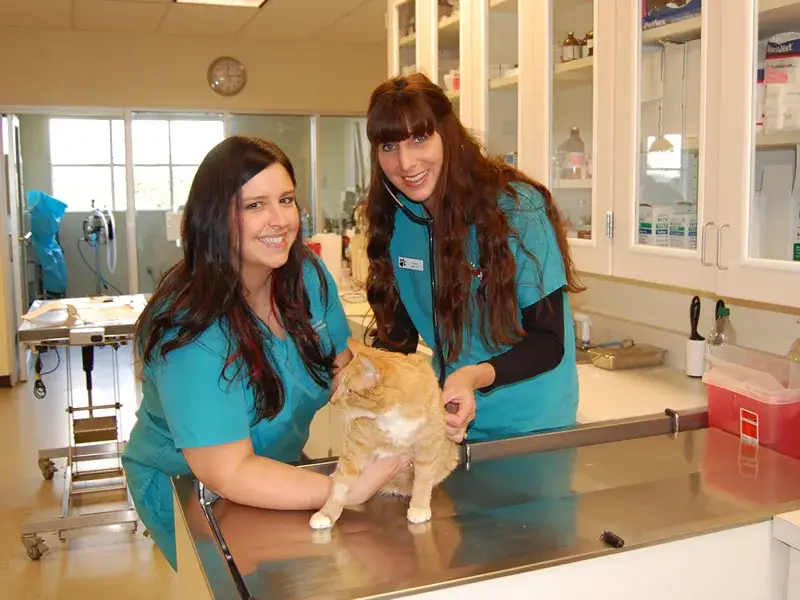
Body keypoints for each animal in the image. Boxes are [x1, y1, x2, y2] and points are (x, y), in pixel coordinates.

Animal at [310, 338, 460, 528]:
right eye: (340, 385)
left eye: (350, 391)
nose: (334, 400)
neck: (392, 414)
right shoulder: (355, 445)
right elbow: (341, 485)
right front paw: (326, 513)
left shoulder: (429, 444)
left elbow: (423, 479)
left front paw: (419, 507)